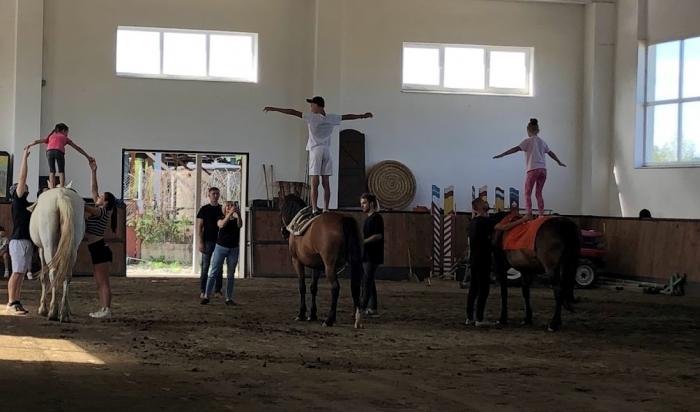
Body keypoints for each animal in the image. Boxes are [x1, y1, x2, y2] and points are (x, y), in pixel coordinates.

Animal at [29, 186, 85, 322]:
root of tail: (61, 195)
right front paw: (68, 310)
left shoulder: (41, 249)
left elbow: (43, 277)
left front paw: (42, 308)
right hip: (72, 248)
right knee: (67, 275)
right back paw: (64, 313)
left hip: (49, 245)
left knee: (52, 273)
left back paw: (52, 311)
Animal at [279, 194, 366, 328]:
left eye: (281, 209)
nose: (283, 231)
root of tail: (344, 219)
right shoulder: (317, 266)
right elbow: (313, 288)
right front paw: (312, 314)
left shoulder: (297, 261)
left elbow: (302, 286)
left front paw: (301, 314)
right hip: (354, 261)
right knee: (356, 286)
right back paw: (357, 318)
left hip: (329, 266)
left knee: (335, 288)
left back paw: (329, 319)